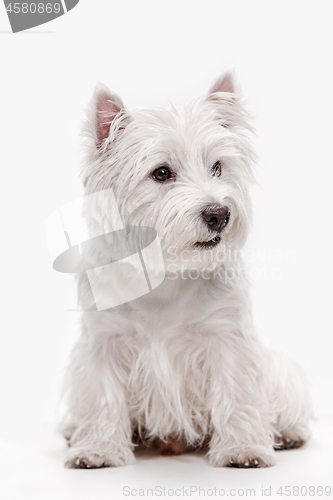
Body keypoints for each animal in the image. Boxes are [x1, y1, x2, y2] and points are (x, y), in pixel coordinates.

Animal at [61, 71, 312, 468]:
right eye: (161, 173)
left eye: (218, 167)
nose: (220, 214)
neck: (168, 274)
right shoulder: (104, 340)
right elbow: (103, 396)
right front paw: (98, 450)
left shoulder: (227, 336)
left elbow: (236, 393)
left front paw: (242, 449)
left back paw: (286, 434)